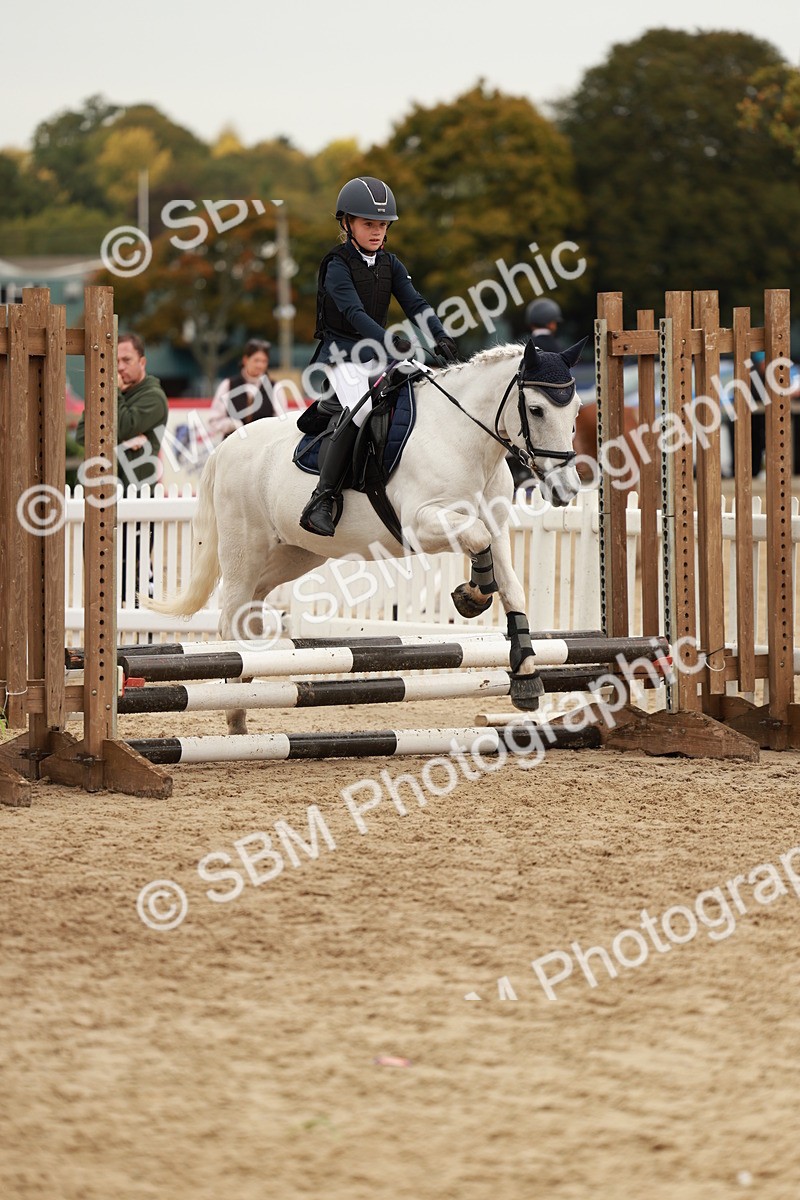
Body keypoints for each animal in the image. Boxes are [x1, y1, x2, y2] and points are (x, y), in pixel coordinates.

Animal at [147, 338, 585, 733]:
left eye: (576, 410)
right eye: (536, 409)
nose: (566, 490)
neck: (462, 437)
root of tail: (225, 446)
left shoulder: (496, 524)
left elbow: (512, 587)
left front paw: (526, 676)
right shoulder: (422, 523)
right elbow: (477, 541)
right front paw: (472, 596)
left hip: (295, 553)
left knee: (251, 611)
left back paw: (247, 688)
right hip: (245, 548)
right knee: (231, 618)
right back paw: (236, 709)